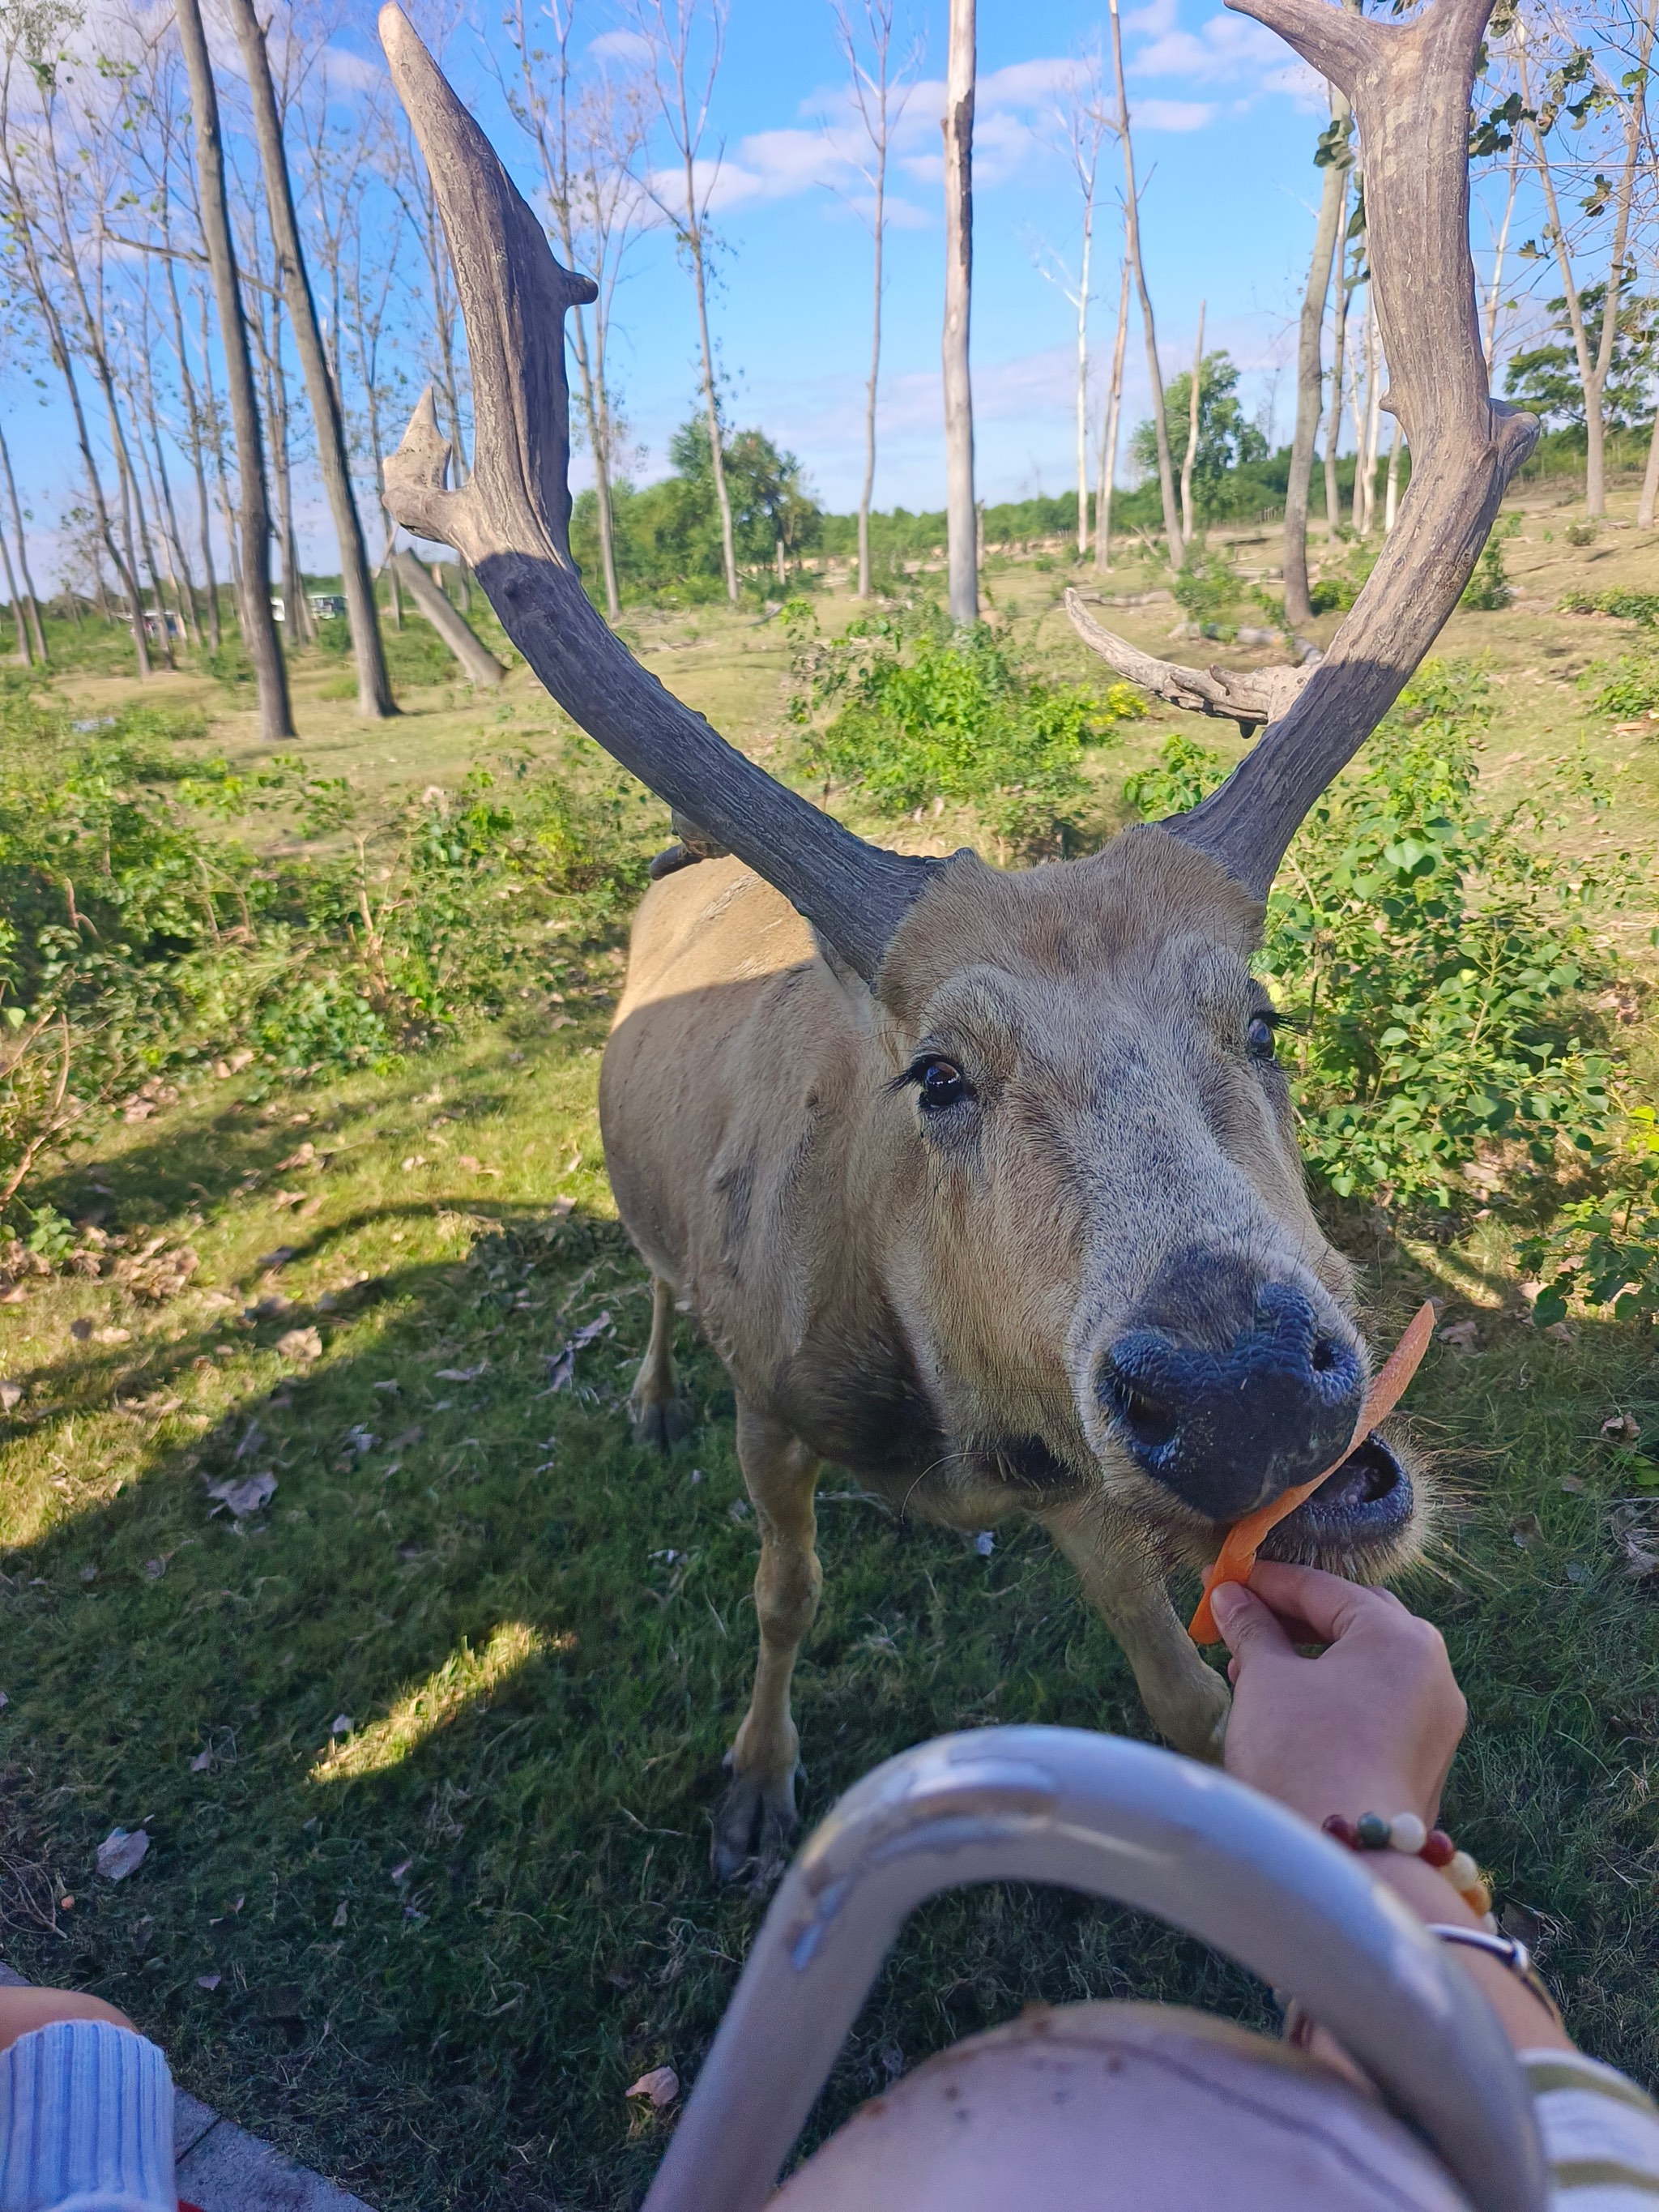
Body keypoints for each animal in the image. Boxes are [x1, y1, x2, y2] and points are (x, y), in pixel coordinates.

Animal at [380, 0, 1548, 1884]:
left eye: (1263, 1019)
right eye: (936, 1075)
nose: (1239, 1387)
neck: (941, 1424)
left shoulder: (1076, 1487)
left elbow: (1182, 1695)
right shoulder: (773, 1402)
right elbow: (781, 1595)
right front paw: (754, 1778)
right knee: (646, 1277)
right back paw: (638, 1394)